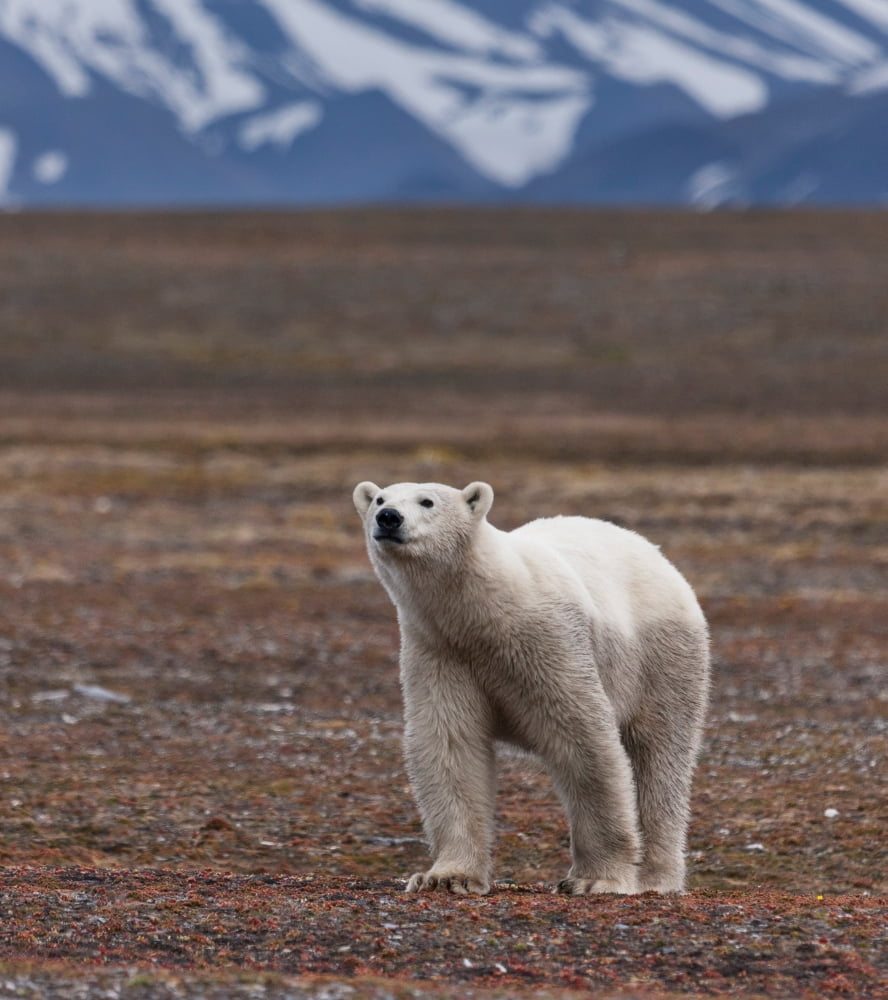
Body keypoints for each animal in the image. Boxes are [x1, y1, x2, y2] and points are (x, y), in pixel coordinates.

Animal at [353, 479, 710, 896]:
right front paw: (446, 876)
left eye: (427, 501)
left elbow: (585, 739)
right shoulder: (440, 651)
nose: (388, 518)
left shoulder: (549, 641)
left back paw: (656, 878)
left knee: (661, 757)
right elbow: (449, 746)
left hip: (663, 658)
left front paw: (595, 879)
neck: (484, 611)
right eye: (380, 498)